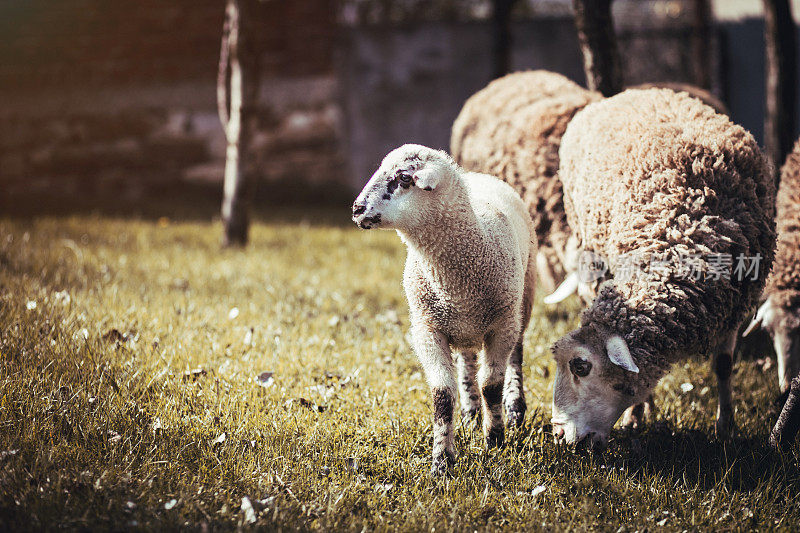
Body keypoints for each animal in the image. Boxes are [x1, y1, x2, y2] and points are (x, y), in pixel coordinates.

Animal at [352, 142, 536, 474]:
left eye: (404, 177)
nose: (357, 209)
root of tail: (478, 175)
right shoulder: (428, 330)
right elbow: (442, 395)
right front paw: (442, 460)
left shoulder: (501, 327)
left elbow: (492, 385)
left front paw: (495, 440)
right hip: (464, 327)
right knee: (467, 362)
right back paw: (471, 413)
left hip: (522, 303)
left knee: (516, 354)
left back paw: (514, 409)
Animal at [552, 88, 776, 444]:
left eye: (580, 366)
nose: (558, 435)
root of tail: (633, 92)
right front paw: (635, 416)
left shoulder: (734, 302)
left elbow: (724, 364)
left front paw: (726, 427)